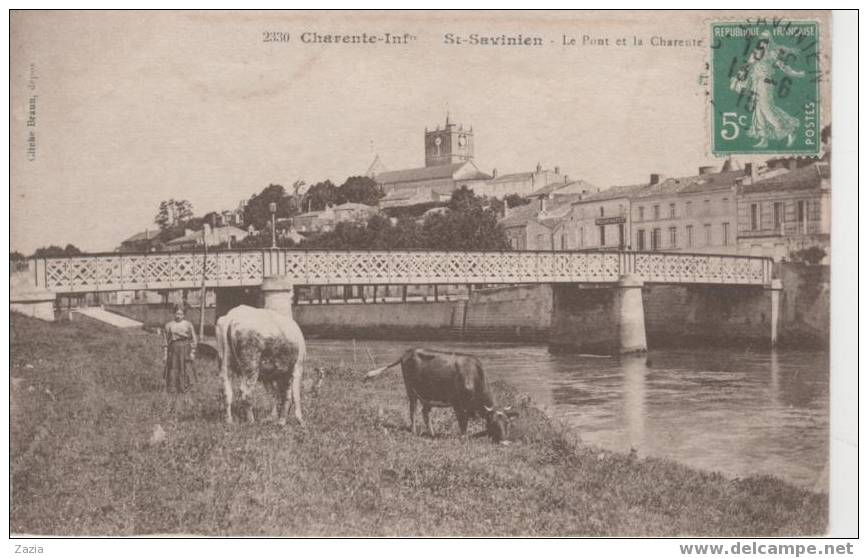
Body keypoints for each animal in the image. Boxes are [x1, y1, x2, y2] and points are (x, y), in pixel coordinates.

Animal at [364, 348, 520, 444]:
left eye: (508, 423)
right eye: (493, 423)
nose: (504, 442)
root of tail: (408, 352)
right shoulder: (457, 404)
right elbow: (463, 423)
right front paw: (463, 438)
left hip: (427, 395)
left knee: (425, 413)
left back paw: (432, 434)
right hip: (411, 390)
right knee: (413, 411)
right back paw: (414, 431)